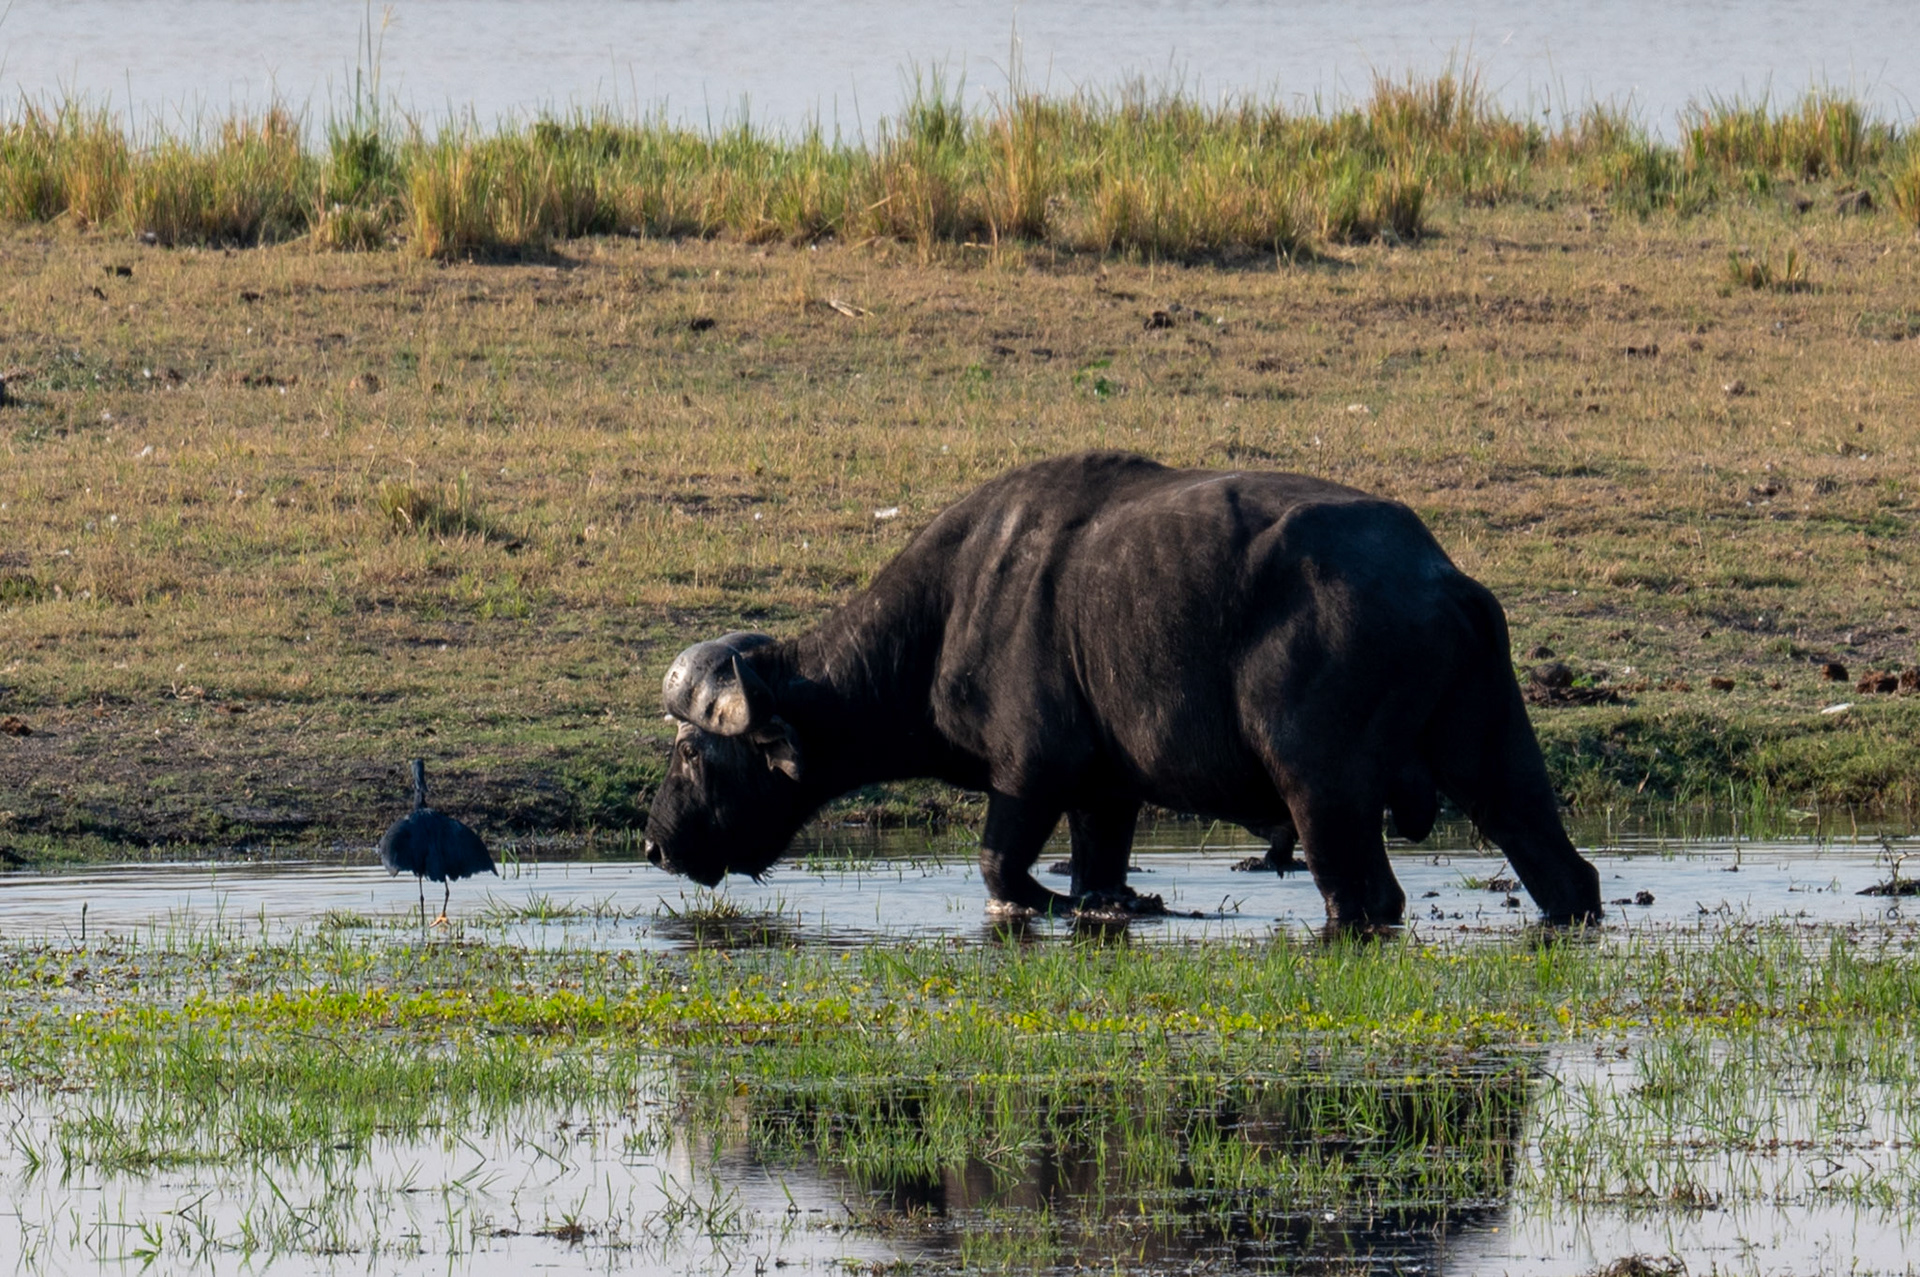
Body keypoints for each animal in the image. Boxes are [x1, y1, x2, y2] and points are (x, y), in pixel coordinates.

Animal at [644, 452, 1602, 927]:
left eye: (691, 749)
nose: (652, 843)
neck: (949, 612)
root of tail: (1443, 578)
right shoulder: (1105, 795)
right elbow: (1096, 876)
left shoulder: (1030, 773)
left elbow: (999, 865)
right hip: (1500, 760)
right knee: (1565, 870)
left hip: (1323, 791)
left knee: (1366, 900)